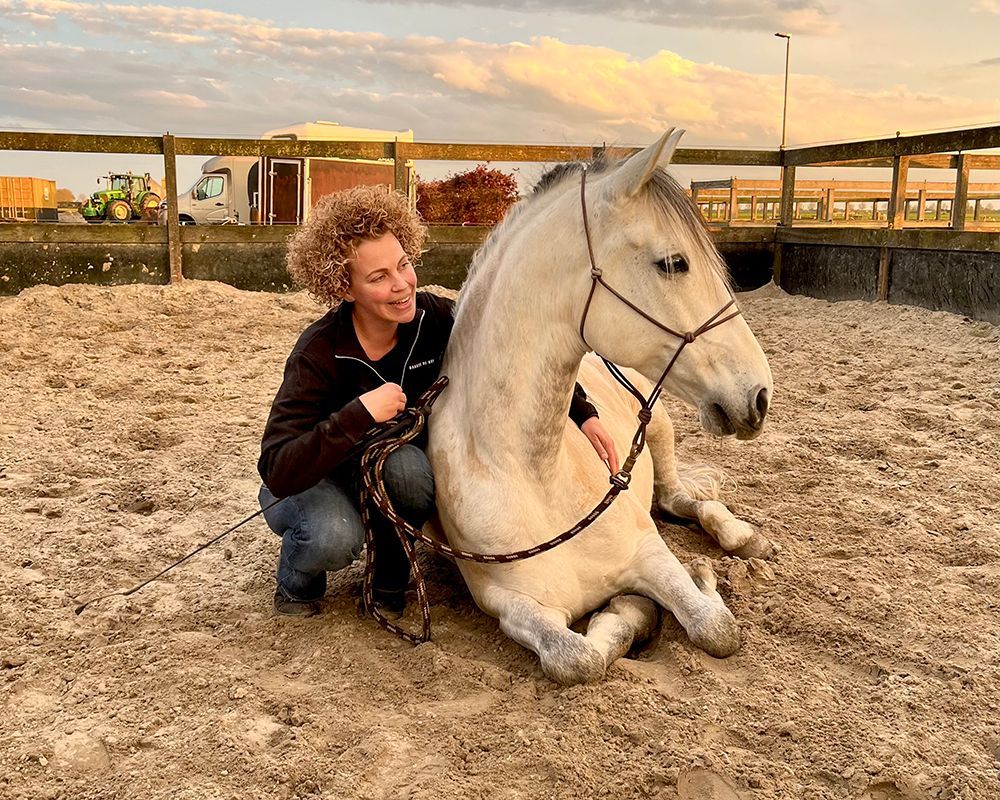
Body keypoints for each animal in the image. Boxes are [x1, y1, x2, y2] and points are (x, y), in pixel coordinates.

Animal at [426, 129, 775, 685]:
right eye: (674, 263)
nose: (760, 394)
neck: (535, 477)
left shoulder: (650, 553)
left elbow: (716, 629)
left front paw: (695, 581)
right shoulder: (509, 604)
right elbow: (576, 660)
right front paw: (626, 612)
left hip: (661, 435)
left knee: (682, 500)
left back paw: (743, 537)